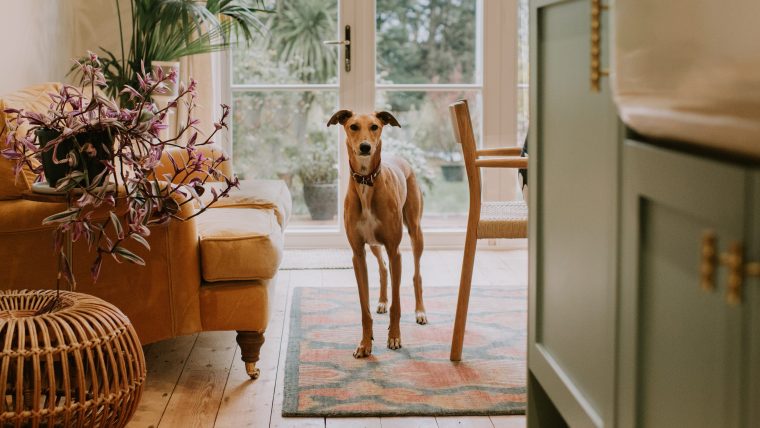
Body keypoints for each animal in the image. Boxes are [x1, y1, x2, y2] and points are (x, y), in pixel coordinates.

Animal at [328, 108, 428, 358]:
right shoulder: (358, 254)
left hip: (415, 231)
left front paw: (394, 337)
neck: (366, 182)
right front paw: (365, 343)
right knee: (383, 269)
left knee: (416, 275)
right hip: (374, 244)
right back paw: (382, 301)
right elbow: (364, 307)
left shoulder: (395, 251)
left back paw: (420, 312)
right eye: (353, 126)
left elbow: (397, 304)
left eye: (375, 126)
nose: (365, 147)